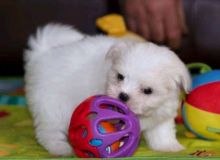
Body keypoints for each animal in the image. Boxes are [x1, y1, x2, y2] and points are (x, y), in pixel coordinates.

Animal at [24, 23, 191, 156]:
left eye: (147, 90)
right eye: (120, 76)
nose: (123, 95)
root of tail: (41, 55)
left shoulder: (162, 112)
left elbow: (163, 132)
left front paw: (170, 147)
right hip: (51, 106)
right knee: (48, 132)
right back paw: (60, 148)